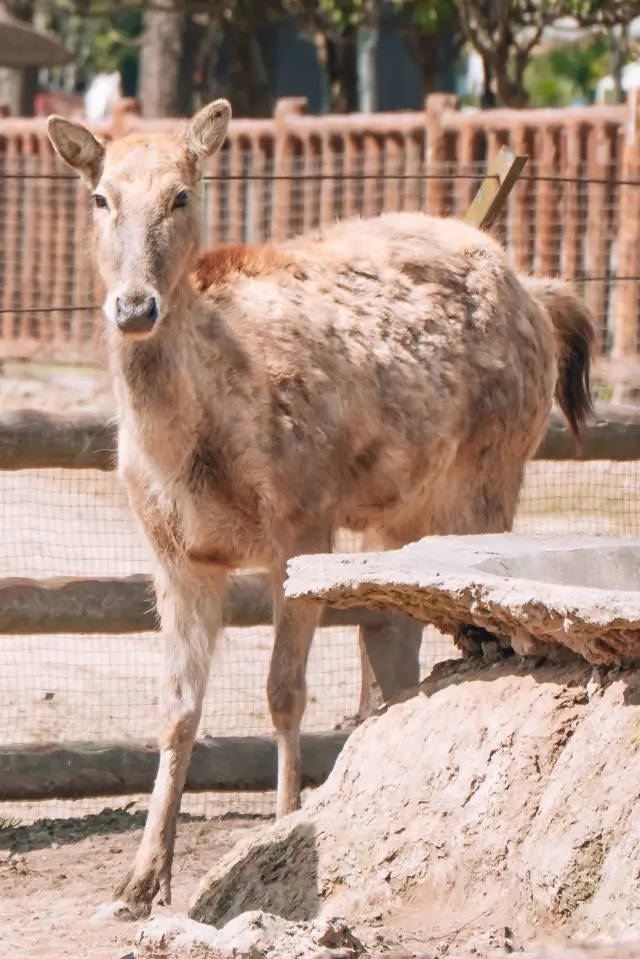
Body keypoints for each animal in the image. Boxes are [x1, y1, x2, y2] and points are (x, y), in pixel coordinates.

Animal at [46, 99, 596, 924]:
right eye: (100, 197)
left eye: (182, 195)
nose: (135, 306)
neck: (189, 448)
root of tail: (538, 289)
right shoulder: (175, 555)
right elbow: (176, 707)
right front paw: (141, 883)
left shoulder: (300, 521)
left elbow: (283, 692)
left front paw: (277, 832)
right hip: (398, 515)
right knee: (392, 643)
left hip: (491, 475)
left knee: (480, 629)